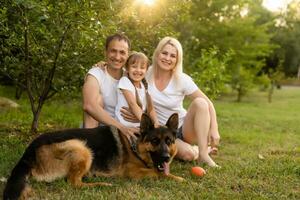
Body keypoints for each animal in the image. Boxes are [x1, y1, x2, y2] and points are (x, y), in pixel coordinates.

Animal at [2, 113, 183, 199]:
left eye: (169, 141)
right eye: (154, 141)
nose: (166, 157)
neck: (136, 147)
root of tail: (29, 151)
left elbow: (160, 171)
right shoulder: (134, 173)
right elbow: (159, 173)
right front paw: (179, 178)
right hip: (81, 147)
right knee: (73, 183)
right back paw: (102, 184)